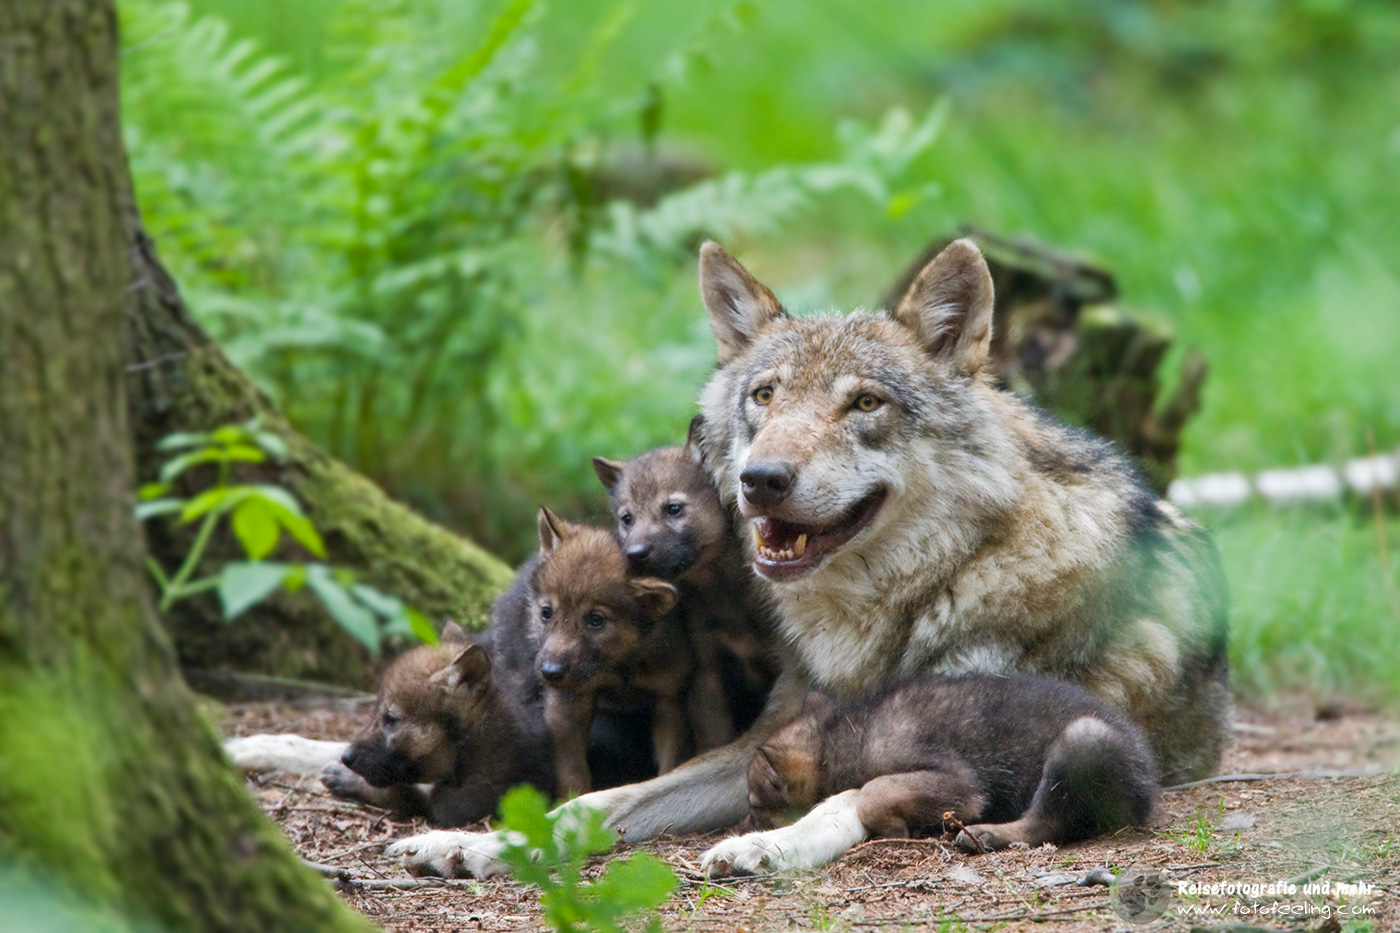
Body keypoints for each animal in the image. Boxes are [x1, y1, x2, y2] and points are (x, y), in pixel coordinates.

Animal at [716, 673, 1157, 875]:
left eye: (755, 805)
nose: (736, 828)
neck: (848, 736)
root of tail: (1147, 787)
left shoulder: (960, 782)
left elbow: (873, 792)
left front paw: (895, 829)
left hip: (1083, 739)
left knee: (1045, 822)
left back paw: (986, 834)